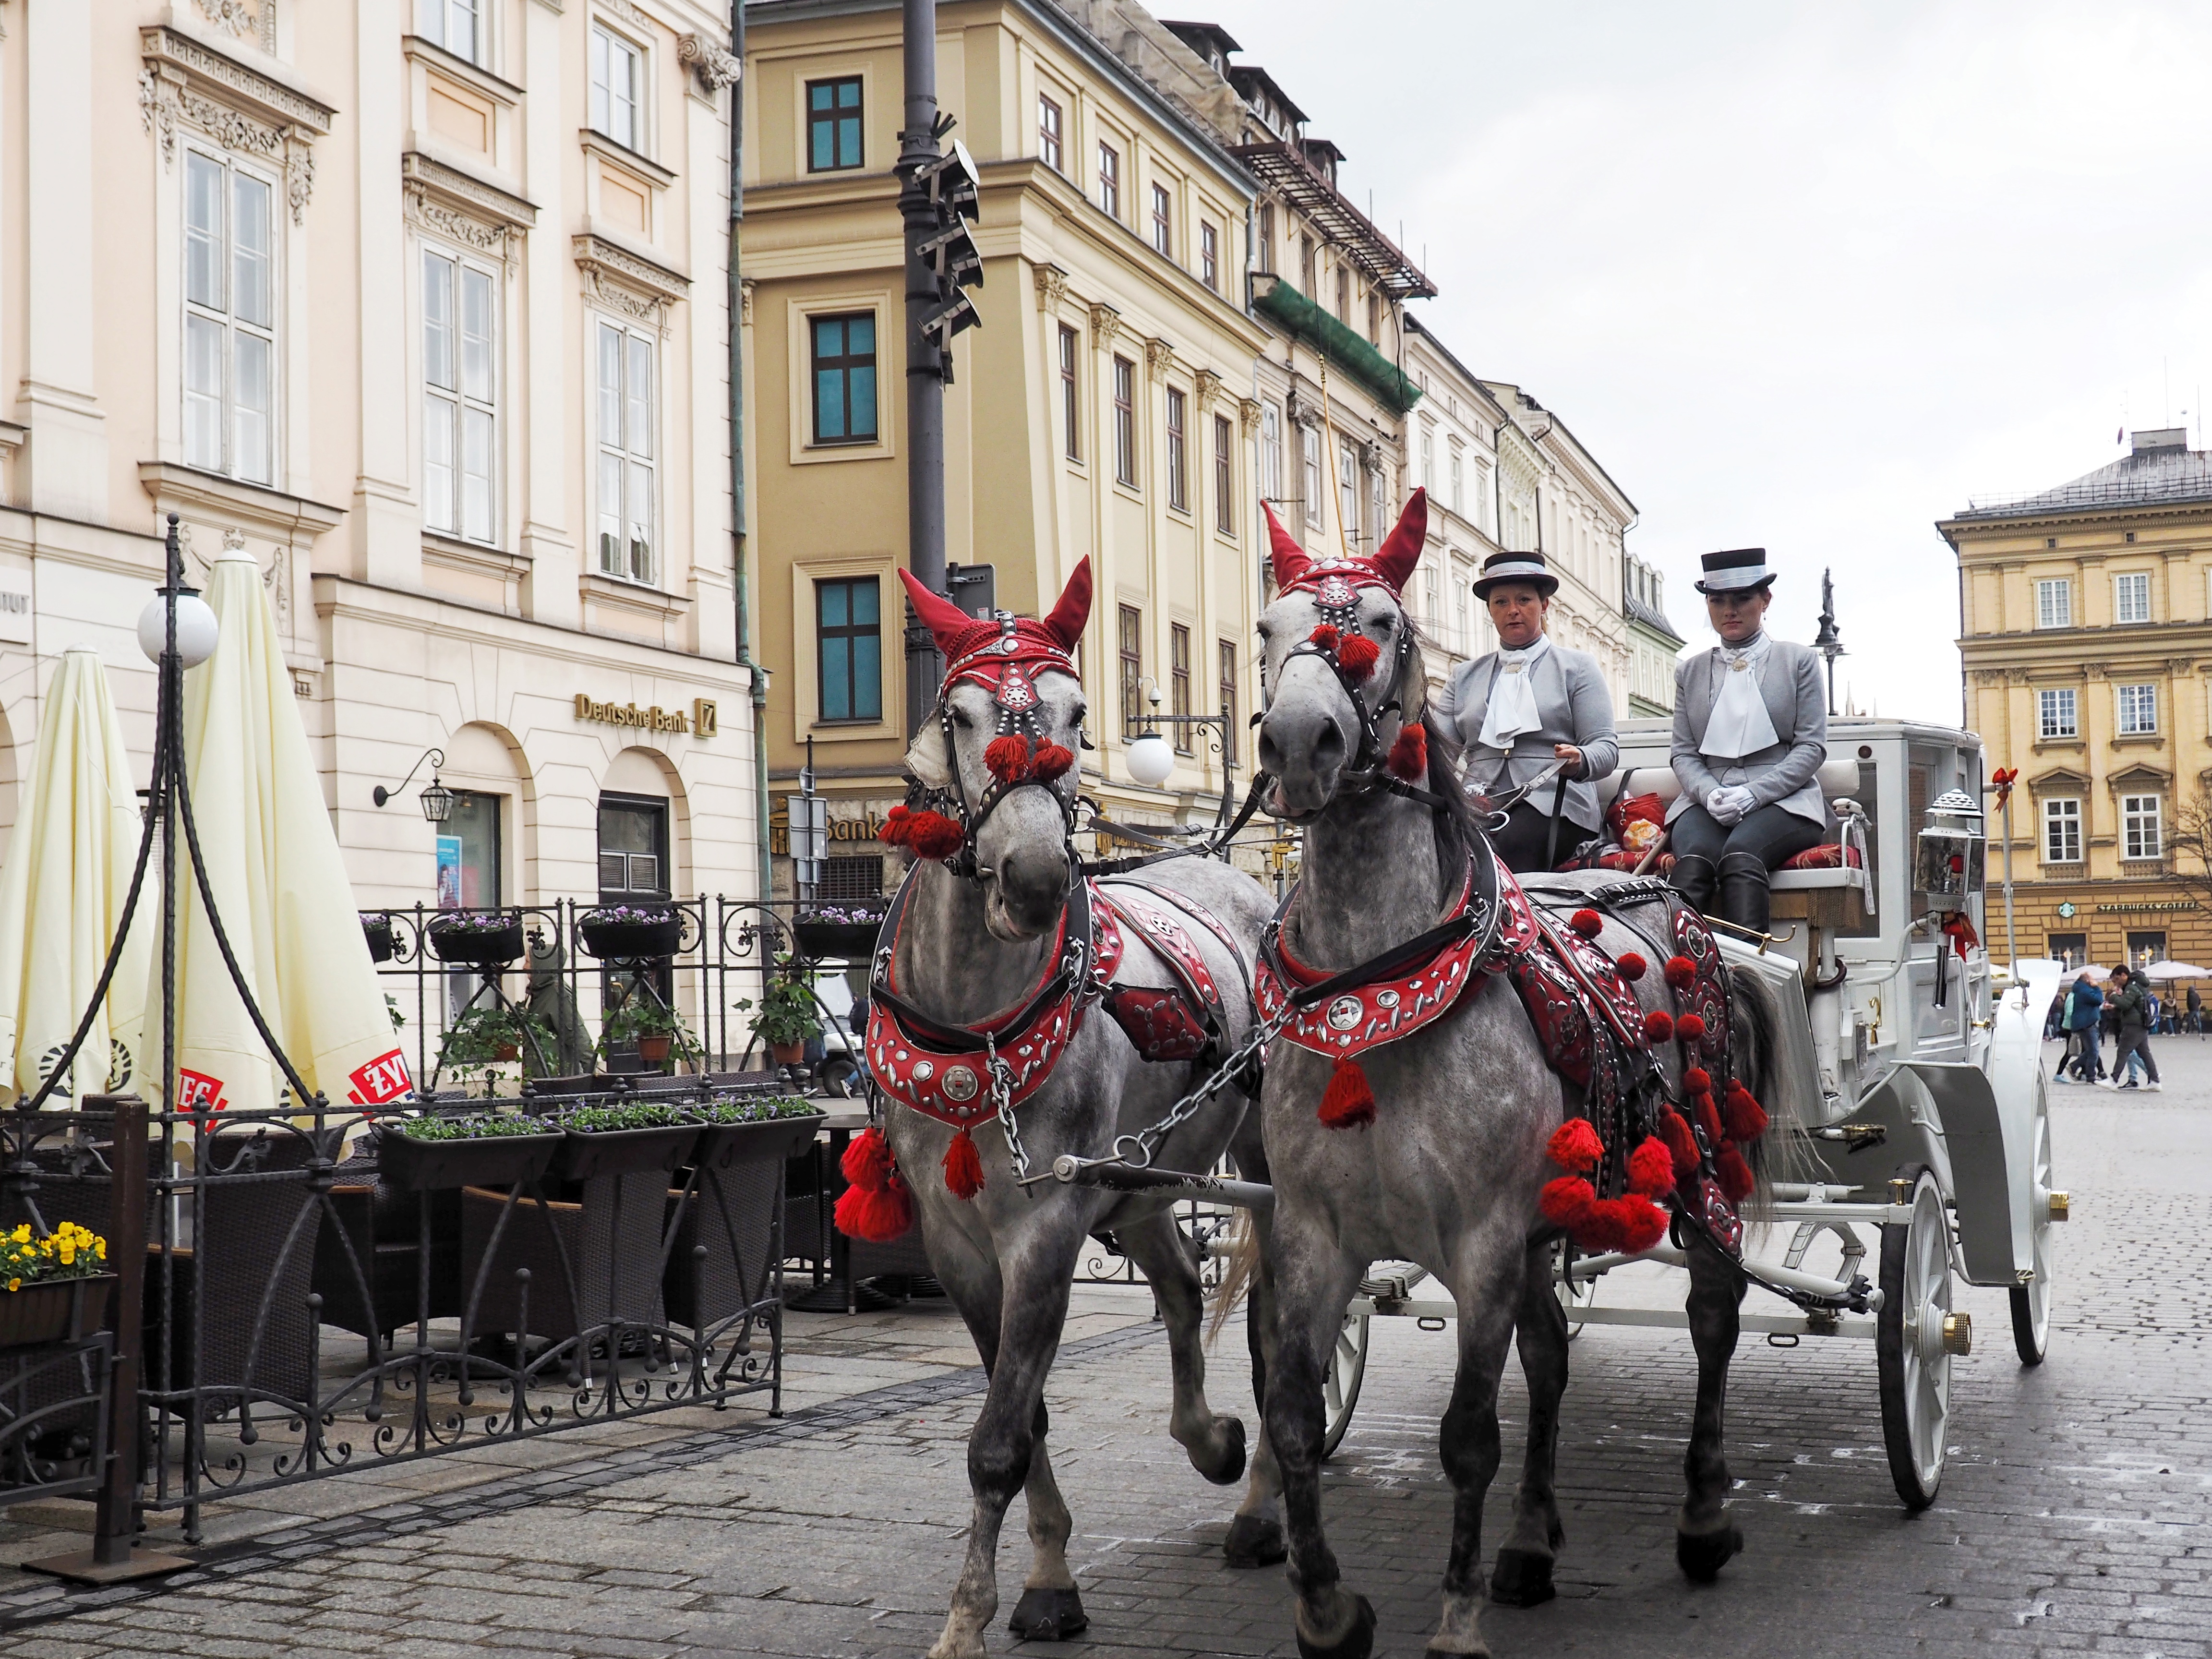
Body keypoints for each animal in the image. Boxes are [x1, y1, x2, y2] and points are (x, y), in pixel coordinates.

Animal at [880, 566, 1292, 1654]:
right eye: (959, 715)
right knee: (1183, 1288)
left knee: (1280, 1338)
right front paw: (1048, 1577)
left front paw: (968, 1617)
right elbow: (1021, 1418)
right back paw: (1210, 1441)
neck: (975, 1028)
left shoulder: (1047, 1230)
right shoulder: (955, 1240)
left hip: (1268, 1164)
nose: (1032, 879)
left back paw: (1259, 1504)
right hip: (1140, 1181)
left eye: (1075, 713)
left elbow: (997, 1439)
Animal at [1256, 506, 1787, 1659]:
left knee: (1714, 1315)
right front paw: (1327, 1611)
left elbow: (1467, 1435)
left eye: (1382, 624)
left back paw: (1703, 1515)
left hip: (1695, 1164)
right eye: (1269, 625)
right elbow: (1292, 1418)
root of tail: (1675, 902)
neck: (1378, 992)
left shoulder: (1483, 1239)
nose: (1298, 741)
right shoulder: (1316, 1235)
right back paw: (1532, 1546)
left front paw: (1454, 1621)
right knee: (1549, 1357)